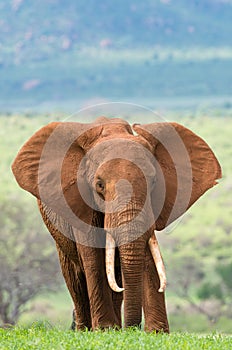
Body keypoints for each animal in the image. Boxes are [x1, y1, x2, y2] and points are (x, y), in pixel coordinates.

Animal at [11, 117, 221, 330]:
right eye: (99, 185)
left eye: (154, 182)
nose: (133, 328)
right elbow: (93, 258)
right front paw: (104, 329)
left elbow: (146, 255)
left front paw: (156, 332)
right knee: (75, 278)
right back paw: (84, 328)